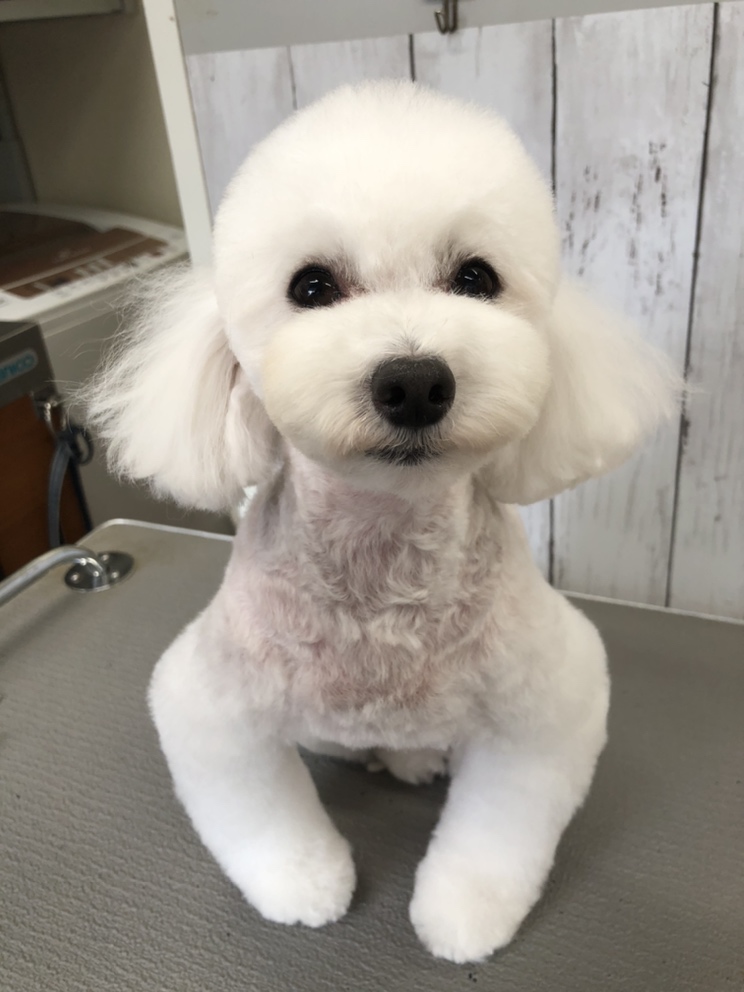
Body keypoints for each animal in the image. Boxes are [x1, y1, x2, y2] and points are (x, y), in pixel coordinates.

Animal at [86, 81, 678, 963]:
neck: (382, 555)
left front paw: (464, 915)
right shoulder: (211, 708)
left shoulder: (549, 707)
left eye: (475, 277)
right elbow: (264, 820)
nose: (414, 382)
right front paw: (305, 886)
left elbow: (497, 834)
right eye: (311, 287)